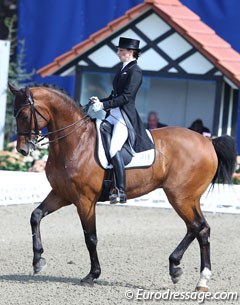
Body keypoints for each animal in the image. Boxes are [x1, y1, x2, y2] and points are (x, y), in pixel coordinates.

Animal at [8, 82, 235, 290]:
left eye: (25, 115)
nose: (22, 150)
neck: (75, 141)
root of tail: (209, 142)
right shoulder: (61, 194)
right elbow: (35, 216)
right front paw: (38, 261)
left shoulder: (85, 200)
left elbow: (90, 237)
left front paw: (92, 275)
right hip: (189, 197)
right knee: (201, 228)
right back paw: (196, 277)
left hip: (180, 196)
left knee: (196, 227)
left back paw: (181, 270)